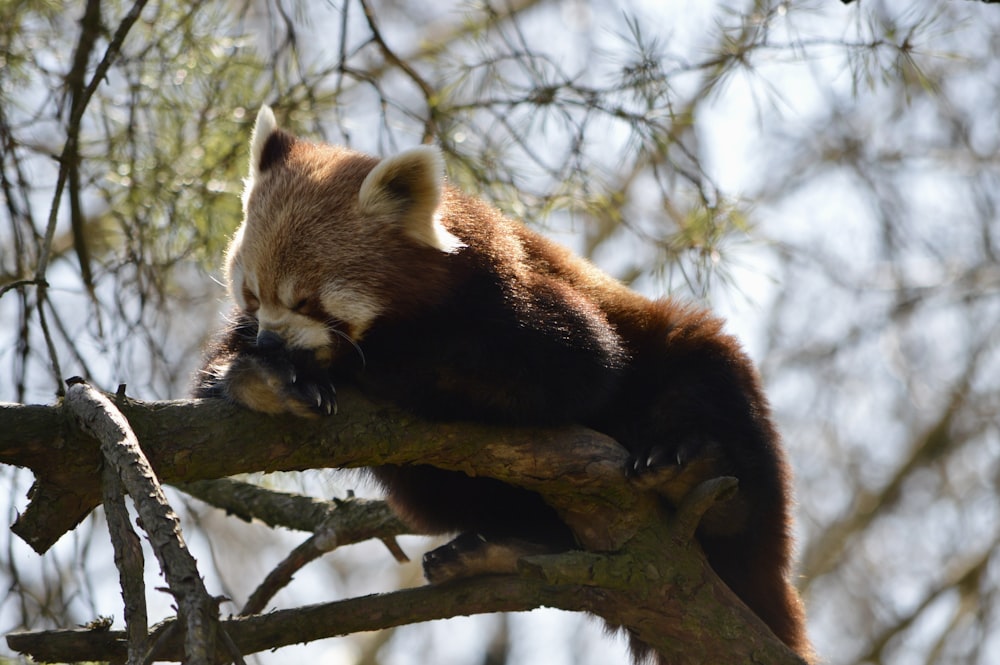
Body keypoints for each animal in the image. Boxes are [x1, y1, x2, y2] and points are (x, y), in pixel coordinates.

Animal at [195, 106, 812, 660]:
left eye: (306, 302)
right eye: (252, 295)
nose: (271, 342)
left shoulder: (520, 297)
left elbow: (578, 368)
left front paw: (342, 364)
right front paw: (268, 378)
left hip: (689, 369)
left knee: (708, 390)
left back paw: (693, 473)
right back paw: (505, 548)